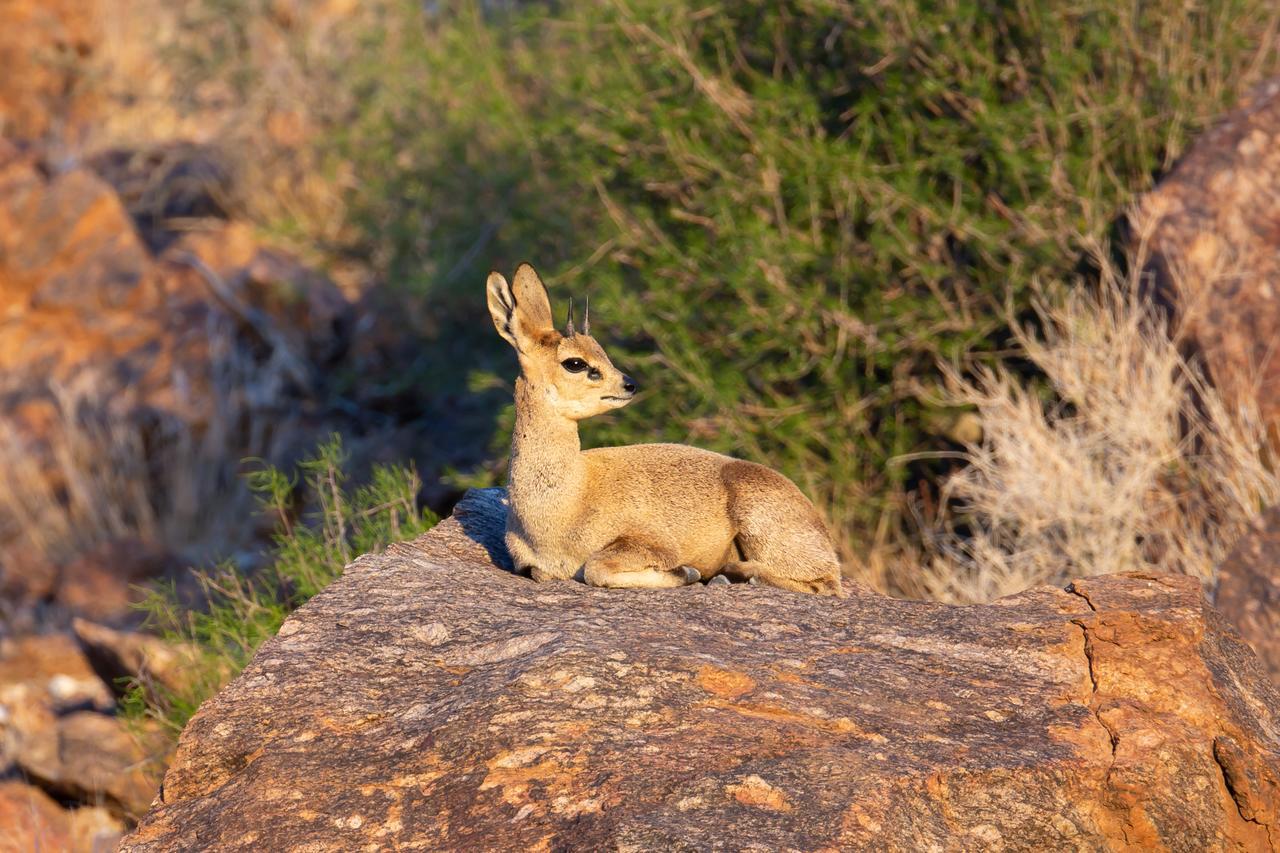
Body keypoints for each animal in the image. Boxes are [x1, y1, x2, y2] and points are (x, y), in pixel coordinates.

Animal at [483, 262, 844, 594]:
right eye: (575, 363)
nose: (629, 384)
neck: (566, 505)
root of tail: (819, 524)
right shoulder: (532, 566)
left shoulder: (652, 543)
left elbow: (596, 569)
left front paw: (687, 573)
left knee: (827, 584)